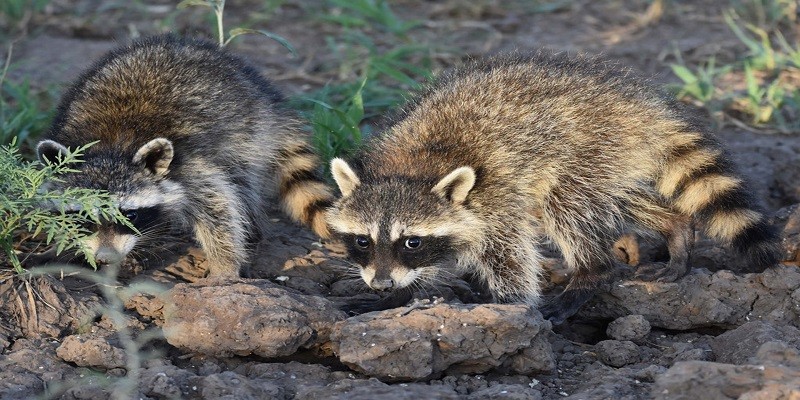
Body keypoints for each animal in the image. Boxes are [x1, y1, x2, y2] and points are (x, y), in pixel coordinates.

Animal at [36, 34, 332, 278]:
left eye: (130, 215)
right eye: (84, 216)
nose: (106, 258)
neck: (111, 148)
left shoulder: (192, 167)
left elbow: (218, 208)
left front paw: (224, 265)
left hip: (248, 133)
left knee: (242, 184)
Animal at [324, 51, 780, 324]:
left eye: (412, 242)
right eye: (363, 241)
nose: (381, 284)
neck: (410, 168)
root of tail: (641, 107)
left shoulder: (494, 200)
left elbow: (507, 256)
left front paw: (508, 306)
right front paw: (397, 296)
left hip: (590, 146)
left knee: (569, 204)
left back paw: (591, 271)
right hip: (610, 157)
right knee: (618, 197)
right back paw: (675, 228)